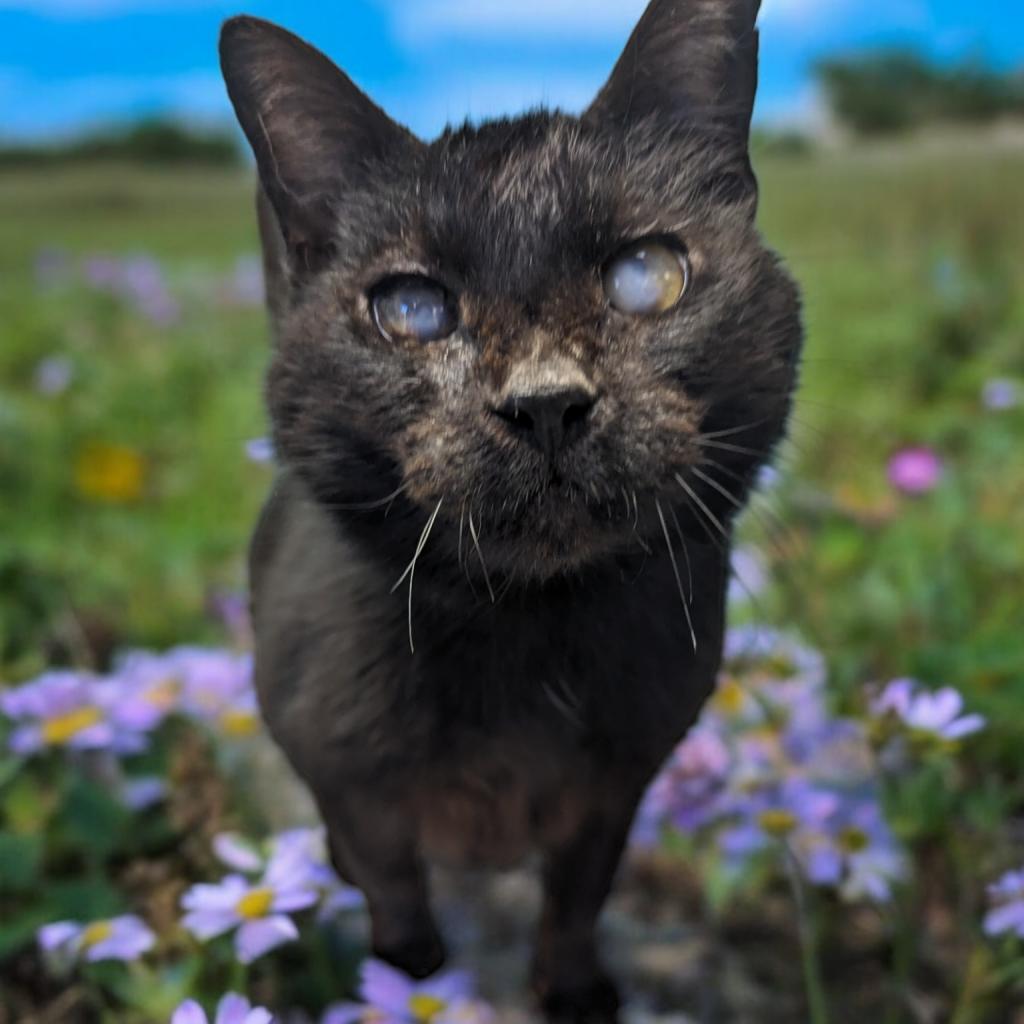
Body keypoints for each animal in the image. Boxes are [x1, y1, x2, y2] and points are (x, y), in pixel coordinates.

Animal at [220, 4, 802, 1019]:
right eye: (410, 309)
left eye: (647, 274)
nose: (546, 402)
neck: (523, 634)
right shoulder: (346, 775)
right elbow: (393, 887)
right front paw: (410, 979)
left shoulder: (617, 779)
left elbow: (579, 890)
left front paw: (570, 989)